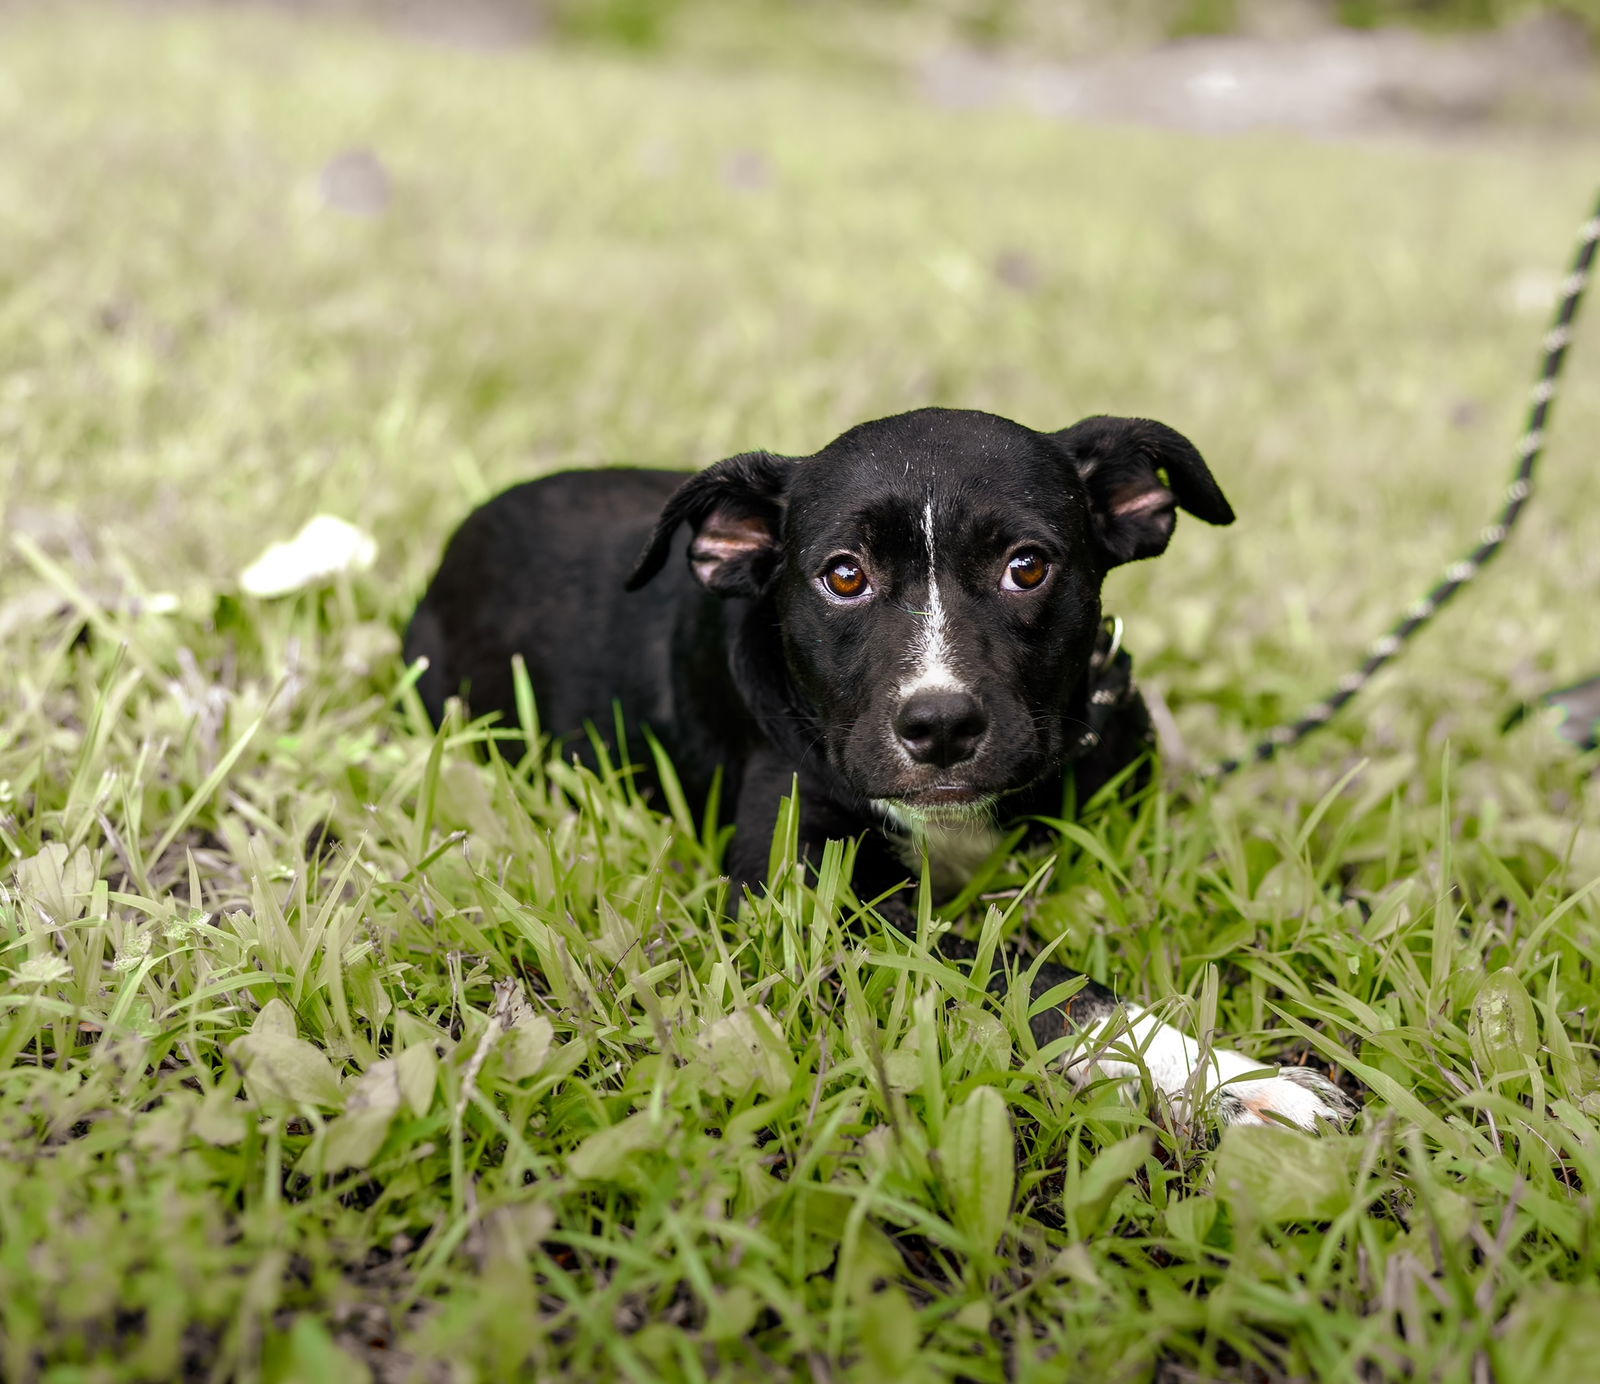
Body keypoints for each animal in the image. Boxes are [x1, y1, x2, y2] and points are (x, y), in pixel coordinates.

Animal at [406, 404, 1356, 1126]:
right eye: (843, 576)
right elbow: (1025, 974)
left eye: (1028, 567)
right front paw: (1221, 1075)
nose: (939, 724)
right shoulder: (801, 890)